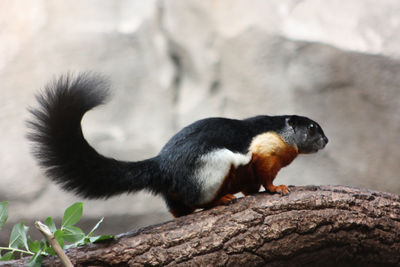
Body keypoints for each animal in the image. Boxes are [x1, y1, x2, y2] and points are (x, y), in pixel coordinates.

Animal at [27, 73, 328, 218]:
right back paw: (222, 199)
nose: (326, 140)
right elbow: (266, 178)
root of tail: (161, 167)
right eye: (312, 127)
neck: (281, 134)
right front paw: (278, 188)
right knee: (199, 202)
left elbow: (253, 185)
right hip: (212, 169)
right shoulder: (264, 153)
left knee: (177, 209)